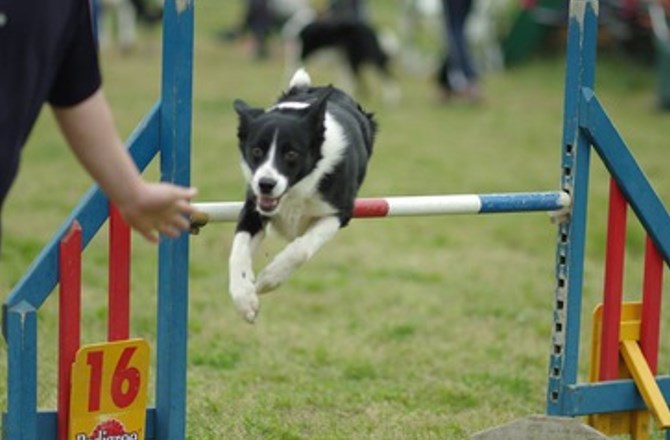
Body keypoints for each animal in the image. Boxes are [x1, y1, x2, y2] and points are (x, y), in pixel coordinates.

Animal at [231, 69, 378, 324]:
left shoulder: (339, 212)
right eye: (256, 150)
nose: (266, 184)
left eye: (291, 154)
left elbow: (301, 249)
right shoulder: (253, 206)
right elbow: (238, 248)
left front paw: (268, 279)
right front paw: (244, 298)